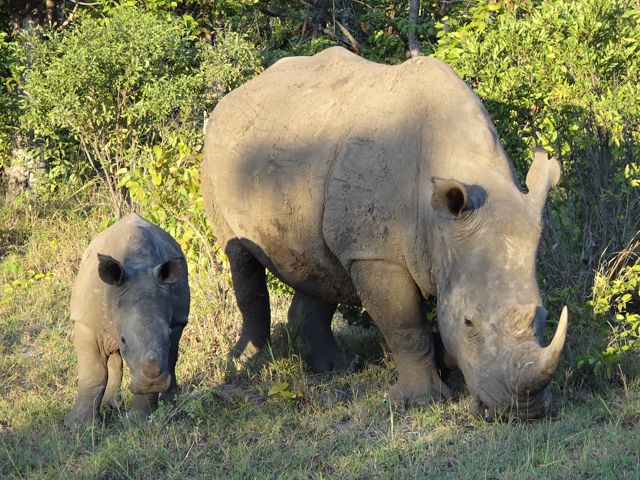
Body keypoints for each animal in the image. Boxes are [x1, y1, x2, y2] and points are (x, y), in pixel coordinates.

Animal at [65, 213, 189, 427]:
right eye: (124, 340)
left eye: (166, 336)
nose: (152, 383)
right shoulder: (86, 322)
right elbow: (93, 372)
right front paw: (78, 426)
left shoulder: (176, 322)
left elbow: (166, 357)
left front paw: (138, 421)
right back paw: (110, 407)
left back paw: (170, 406)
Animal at [202, 47, 568, 419]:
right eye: (468, 323)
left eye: (544, 317)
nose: (523, 411)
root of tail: (236, 94)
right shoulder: (374, 253)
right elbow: (405, 325)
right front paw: (422, 400)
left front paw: (443, 364)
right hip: (215, 152)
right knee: (240, 255)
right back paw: (248, 362)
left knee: (319, 264)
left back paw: (342, 368)